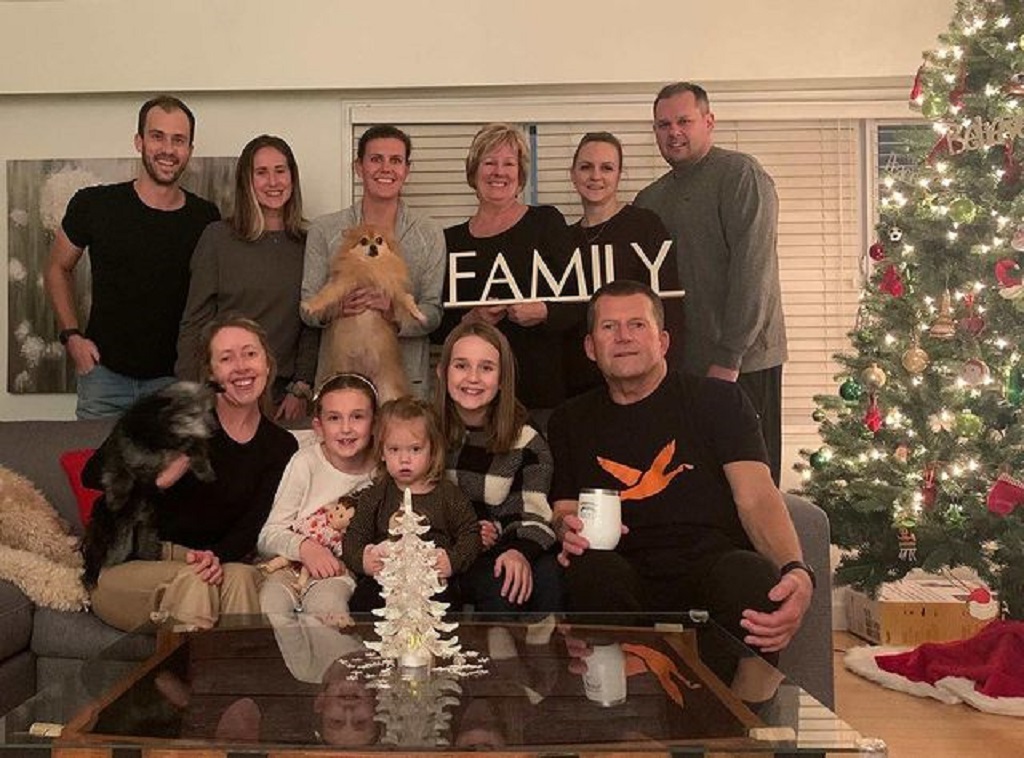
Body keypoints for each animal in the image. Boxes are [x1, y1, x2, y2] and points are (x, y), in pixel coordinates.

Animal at [83, 381, 218, 590]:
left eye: (210, 410)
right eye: (193, 413)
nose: (215, 429)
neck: (163, 434)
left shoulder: (186, 444)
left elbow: (197, 448)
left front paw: (205, 471)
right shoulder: (119, 451)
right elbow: (120, 472)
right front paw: (117, 498)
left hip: (147, 533)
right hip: (103, 532)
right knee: (94, 557)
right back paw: (90, 576)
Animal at [301, 223, 425, 403]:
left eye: (379, 240)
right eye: (364, 241)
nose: (373, 246)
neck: (370, 267)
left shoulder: (393, 290)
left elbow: (407, 299)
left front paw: (418, 314)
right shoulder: (342, 284)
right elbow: (326, 294)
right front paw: (311, 305)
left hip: (387, 389)